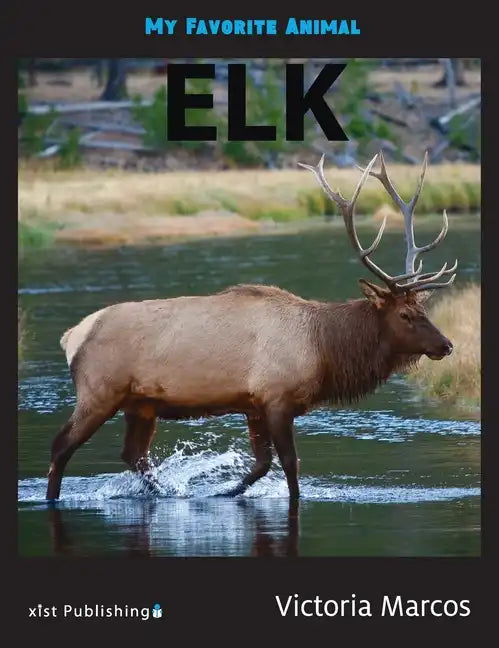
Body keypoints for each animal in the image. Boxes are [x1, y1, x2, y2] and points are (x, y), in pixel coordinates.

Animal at [46, 151, 457, 502]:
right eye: (404, 315)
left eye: (423, 307)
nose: (447, 345)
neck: (324, 349)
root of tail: (70, 336)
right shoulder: (276, 397)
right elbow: (289, 464)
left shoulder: (253, 405)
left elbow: (261, 465)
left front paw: (225, 491)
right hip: (99, 391)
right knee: (62, 445)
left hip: (141, 404)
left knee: (133, 454)